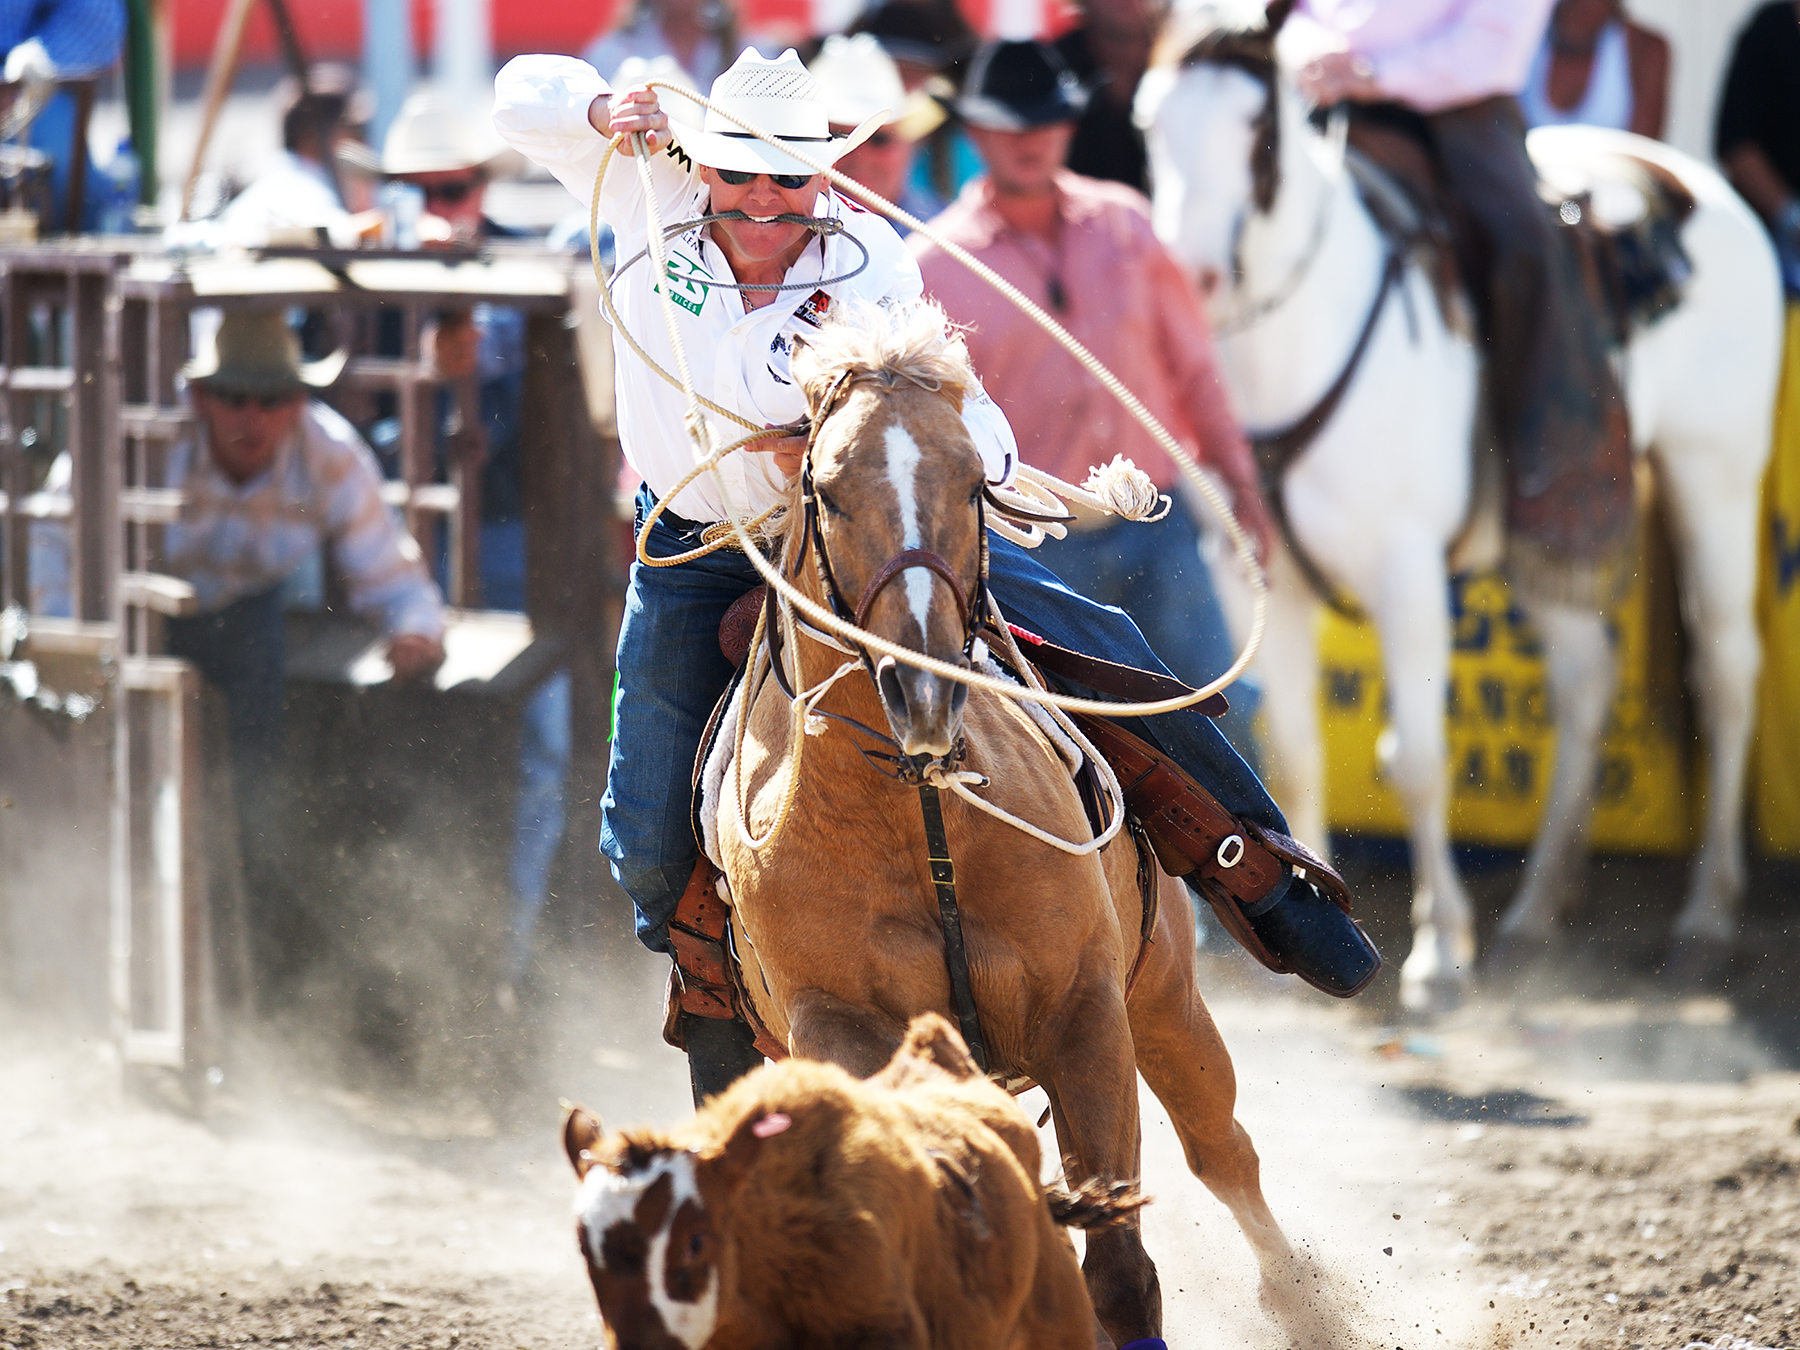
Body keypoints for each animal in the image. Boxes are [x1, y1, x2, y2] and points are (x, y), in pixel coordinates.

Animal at [709, 300, 1346, 1346]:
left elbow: (1121, 1273)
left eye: (974, 480)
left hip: (1165, 993)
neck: (922, 822)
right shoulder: (844, 1030)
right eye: (830, 493)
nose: (924, 688)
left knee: (1222, 1150)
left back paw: (1306, 1302)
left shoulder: (1084, 1016)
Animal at [1137, 2, 1785, 1015]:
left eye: (1258, 128)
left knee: (1725, 676)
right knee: (1586, 682)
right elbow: (1293, 745)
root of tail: (1693, 181)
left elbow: (1418, 761)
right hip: (1549, 547)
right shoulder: (1254, 582)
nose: (1191, 276)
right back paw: (1536, 913)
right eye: (1147, 119)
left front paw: (1440, 952)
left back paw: (1705, 921)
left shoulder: (1404, 574)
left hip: (1711, 476)